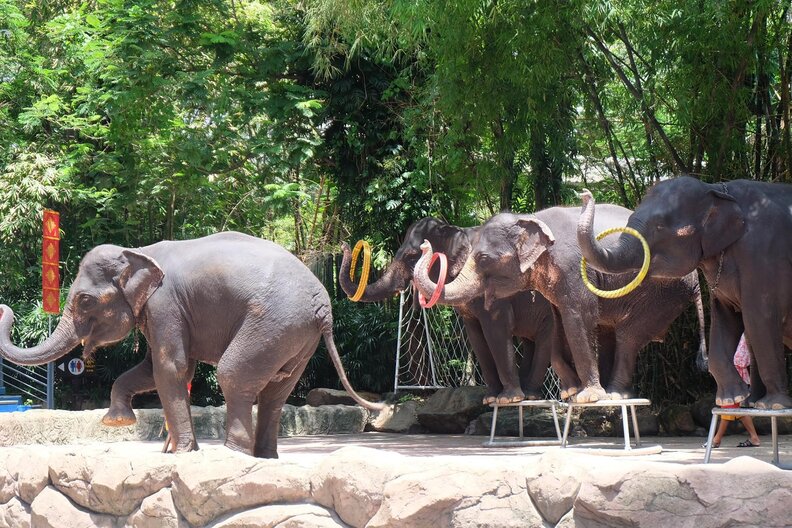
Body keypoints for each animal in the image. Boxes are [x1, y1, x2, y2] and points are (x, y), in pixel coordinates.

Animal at [0, 231, 382, 458]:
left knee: (234, 374)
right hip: (298, 337)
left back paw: (232, 454)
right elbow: (157, 369)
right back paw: (264, 457)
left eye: (84, 301)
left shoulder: (165, 303)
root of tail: (324, 308)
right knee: (277, 391)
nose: (6, 309)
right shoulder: (163, 311)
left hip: (276, 322)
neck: (140, 252)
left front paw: (181, 453)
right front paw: (122, 425)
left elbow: (170, 366)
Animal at [338, 217, 564, 404]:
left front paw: (507, 399)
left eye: (412, 257)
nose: (344, 244)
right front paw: (490, 399)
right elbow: (476, 336)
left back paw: (530, 395)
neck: (457, 230)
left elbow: (497, 330)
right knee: (529, 341)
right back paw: (530, 394)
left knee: (545, 340)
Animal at [413, 205, 706, 403]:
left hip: (661, 293)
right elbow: (558, 321)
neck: (532, 217)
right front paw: (571, 393)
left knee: (628, 334)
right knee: (610, 331)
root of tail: (695, 281)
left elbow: (578, 315)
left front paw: (587, 397)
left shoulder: (574, 268)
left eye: (484, 258)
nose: (426, 245)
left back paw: (613, 395)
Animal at [576, 177, 792, 410]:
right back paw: (752, 402)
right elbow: (724, 318)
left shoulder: (761, 255)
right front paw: (730, 399)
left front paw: (774, 405)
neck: (716, 189)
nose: (585, 193)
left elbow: (759, 319)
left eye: (660, 226)